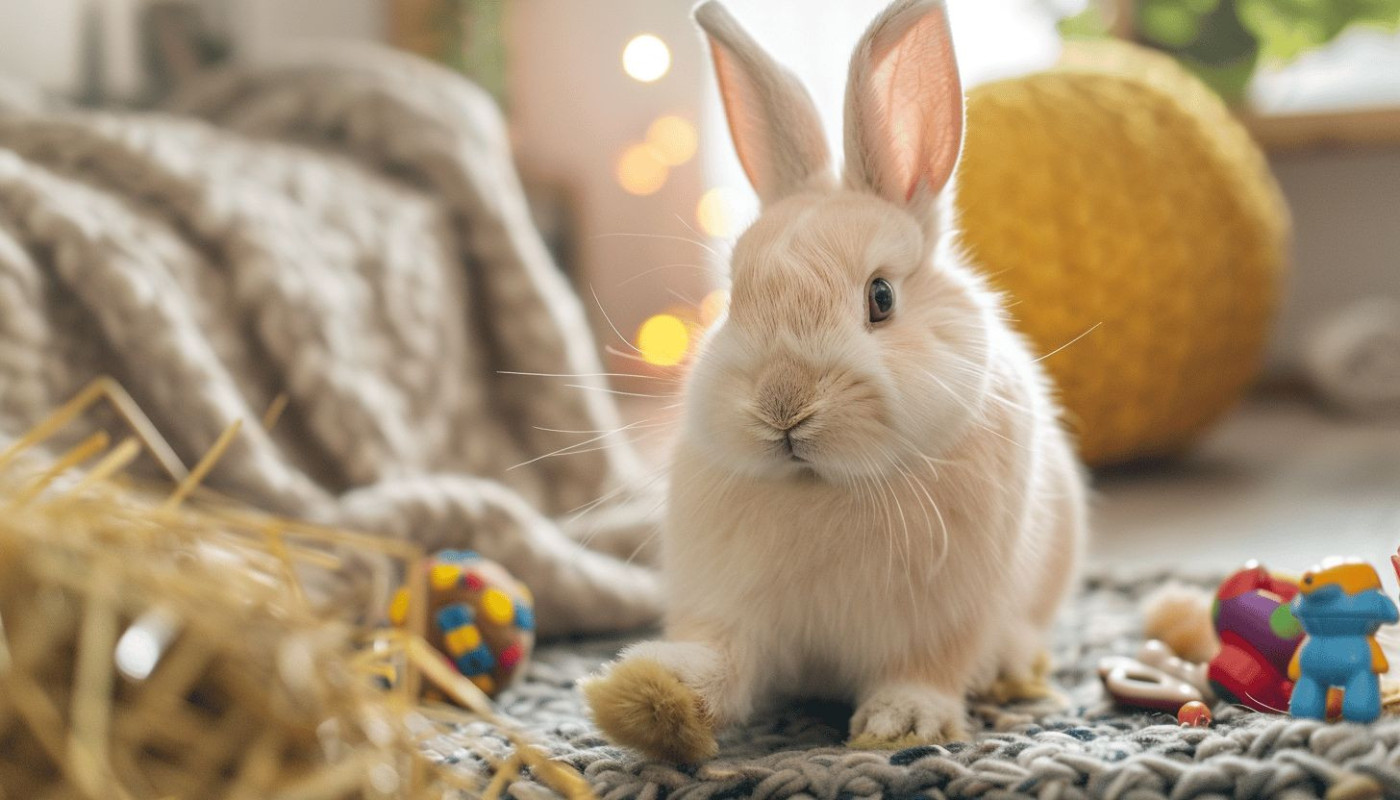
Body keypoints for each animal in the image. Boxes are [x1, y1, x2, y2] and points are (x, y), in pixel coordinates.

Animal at [582, 0, 1087, 763]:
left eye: (881, 297)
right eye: (734, 297)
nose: (782, 406)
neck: (822, 487)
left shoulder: (942, 621)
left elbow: (925, 670)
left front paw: (899, 724)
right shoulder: (734, 612)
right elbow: (723, 661)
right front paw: (646, 699)